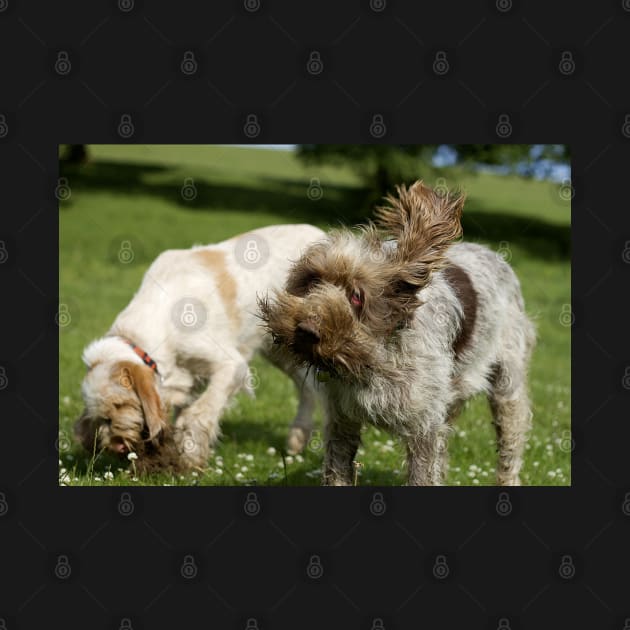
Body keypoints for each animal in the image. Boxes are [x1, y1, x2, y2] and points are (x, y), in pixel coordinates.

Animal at [74, 225, 326, 472]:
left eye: (121, 404)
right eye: (100, 417)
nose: (115, 446)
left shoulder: (231, 366)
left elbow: (200, 412)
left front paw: (191, 459)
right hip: (280, 352)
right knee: (309, 388)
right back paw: (297, 439)